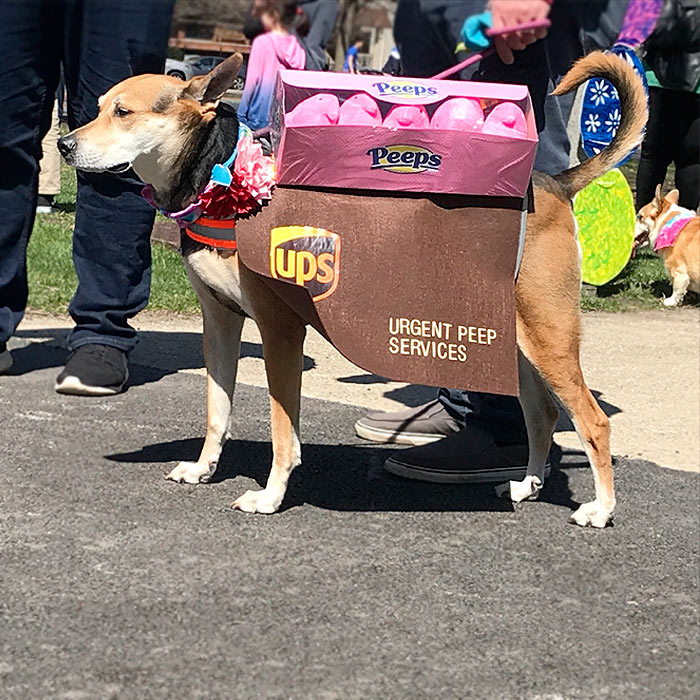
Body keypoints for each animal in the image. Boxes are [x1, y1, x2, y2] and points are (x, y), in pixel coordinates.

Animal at [57, 52, 648, 528]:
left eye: (123, 112)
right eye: (98, 106)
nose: (63, 144)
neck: (223, 179)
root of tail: (556, 182)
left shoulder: (279, 332)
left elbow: (282, 430)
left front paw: (270, 496)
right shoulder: (219, 323)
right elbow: (217, 410)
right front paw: (204, 468)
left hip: (549, 338)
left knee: (592, 421)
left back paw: (600, 509)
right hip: (515, 344)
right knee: (542, 414)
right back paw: (527, 485)